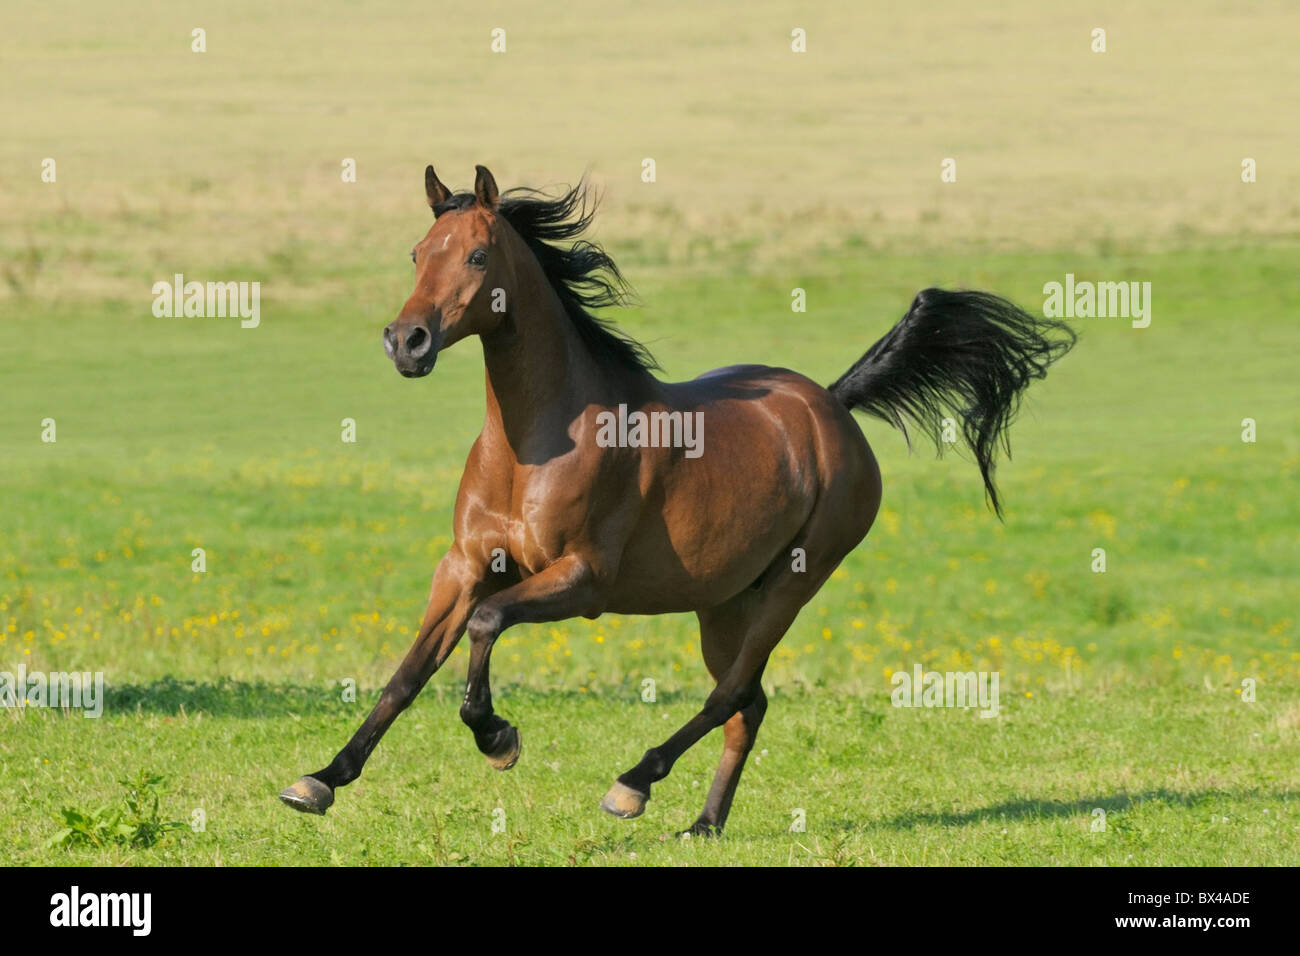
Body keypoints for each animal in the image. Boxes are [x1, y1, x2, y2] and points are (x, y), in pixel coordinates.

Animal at [282, 166, 1076, 837]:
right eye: (417, 253)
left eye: (477, 257)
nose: (406, 341)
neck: (536, 445)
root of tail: (832, 406)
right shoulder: (464, 566)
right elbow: (408, 673)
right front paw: (320, 780)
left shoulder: (582, 581)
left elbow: (485, 625)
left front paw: (498, 738)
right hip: (722, 603)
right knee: (748, 703)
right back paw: (704, 824)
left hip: (794, 584)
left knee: (729, 696)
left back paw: (633, 785)